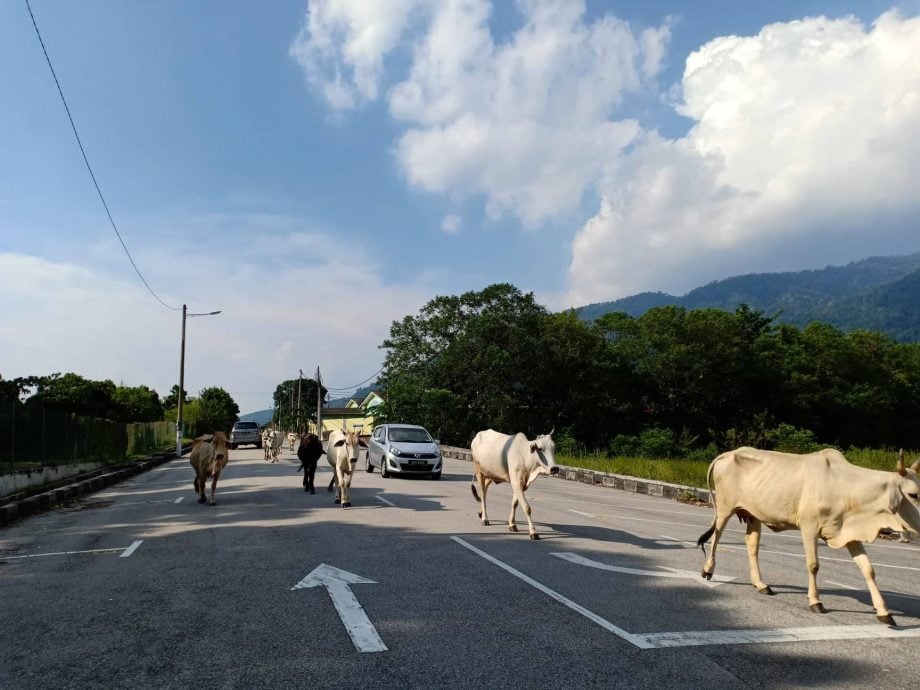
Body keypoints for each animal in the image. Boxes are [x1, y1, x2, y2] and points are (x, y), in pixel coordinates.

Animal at [696, 446, 920, 624]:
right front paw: (815, 601)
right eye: (913, 494)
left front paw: (883, 611)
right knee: (716, 536)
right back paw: (708, 569)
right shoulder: (809, 527)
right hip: (725, 508)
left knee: (752, 545)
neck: (844, 487)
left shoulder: (849, 534)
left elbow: (868, 570)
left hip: (753, 515)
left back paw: (760, 584)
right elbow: (813, 565)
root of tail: (729, 453)